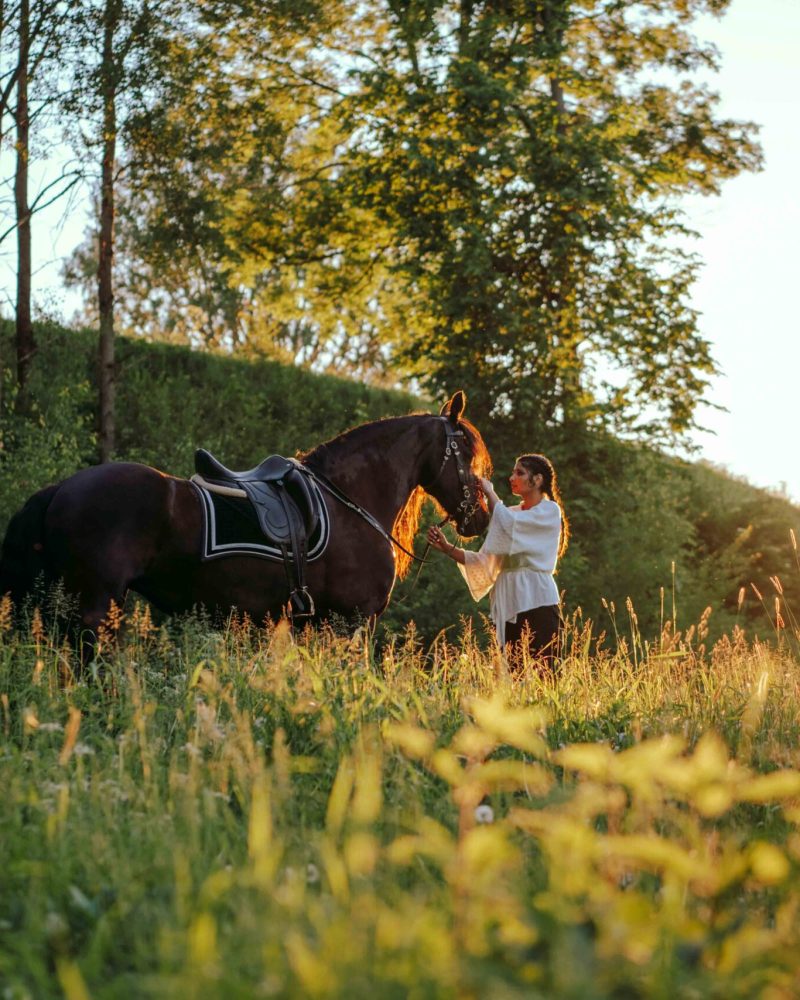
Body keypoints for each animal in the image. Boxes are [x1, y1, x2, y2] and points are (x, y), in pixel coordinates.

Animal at [0, 391, 491, 644]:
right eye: (466, 454)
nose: (481, 519)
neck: (348, 500)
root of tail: (61, 488)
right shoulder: (353, 621)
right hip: (95, 606)